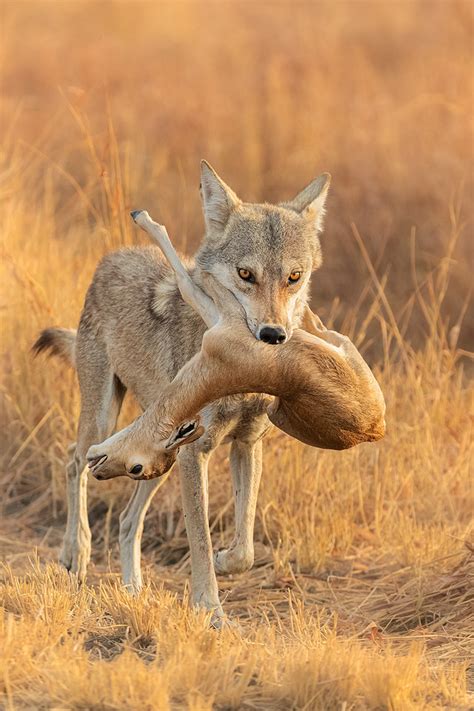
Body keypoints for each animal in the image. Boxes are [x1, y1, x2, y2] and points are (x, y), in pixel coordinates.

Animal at [33, 161, 330, 623]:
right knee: (73, 460)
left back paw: (133, 592)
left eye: (293, 278)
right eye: (246, 275)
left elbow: (244, 547)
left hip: (154, 458)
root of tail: (110, 258)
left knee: (126, 519)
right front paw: (210, 611)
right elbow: (200, 540)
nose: (273, 335)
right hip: (106, 422)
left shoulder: (246, 444)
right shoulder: (196, 451)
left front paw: (227, 563)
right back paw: (75, 554)